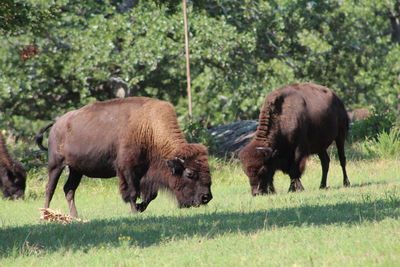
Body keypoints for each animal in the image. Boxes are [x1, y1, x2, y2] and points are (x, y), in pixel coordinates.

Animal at [36, 98, 214, 218]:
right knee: (50, 188)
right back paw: (45, 214)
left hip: (76, 169)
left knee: (69, 189)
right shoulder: (128, 169)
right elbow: (132, 192)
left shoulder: (145, 173)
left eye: (208, 170)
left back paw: (75, 216)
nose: (206, 197)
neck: (149, 129)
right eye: (190, 173)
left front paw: (141, 208)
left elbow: (151, 195)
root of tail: (57, 124)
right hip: (56, 165)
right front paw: (135, 211)